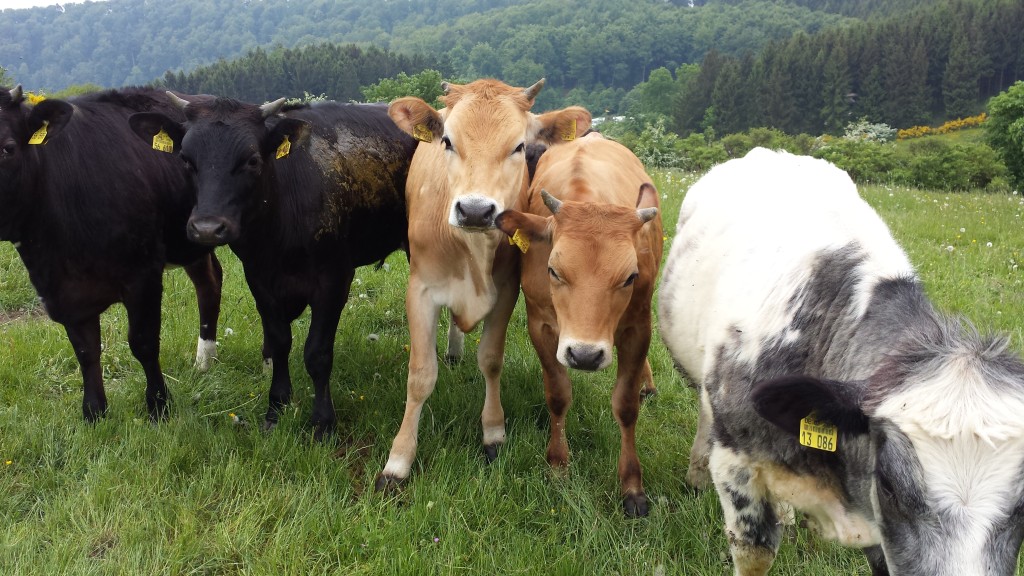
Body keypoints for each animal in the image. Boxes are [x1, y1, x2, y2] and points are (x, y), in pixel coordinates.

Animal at [0, 84, 223, 416]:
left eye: (8, 148)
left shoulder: (143, 275)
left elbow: (143, 343)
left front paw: (158, 405)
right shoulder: (63, 292)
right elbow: (86, 350)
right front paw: (94, 411)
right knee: (209, 281)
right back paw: (203, 362)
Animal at [129, 95, 415, 434]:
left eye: (252, 160)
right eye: (185, 159)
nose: (207, 228)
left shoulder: (334, 279)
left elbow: (317, 353)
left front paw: (322, 422)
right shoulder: (260, 279)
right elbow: (279, 343)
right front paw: (276, 408)